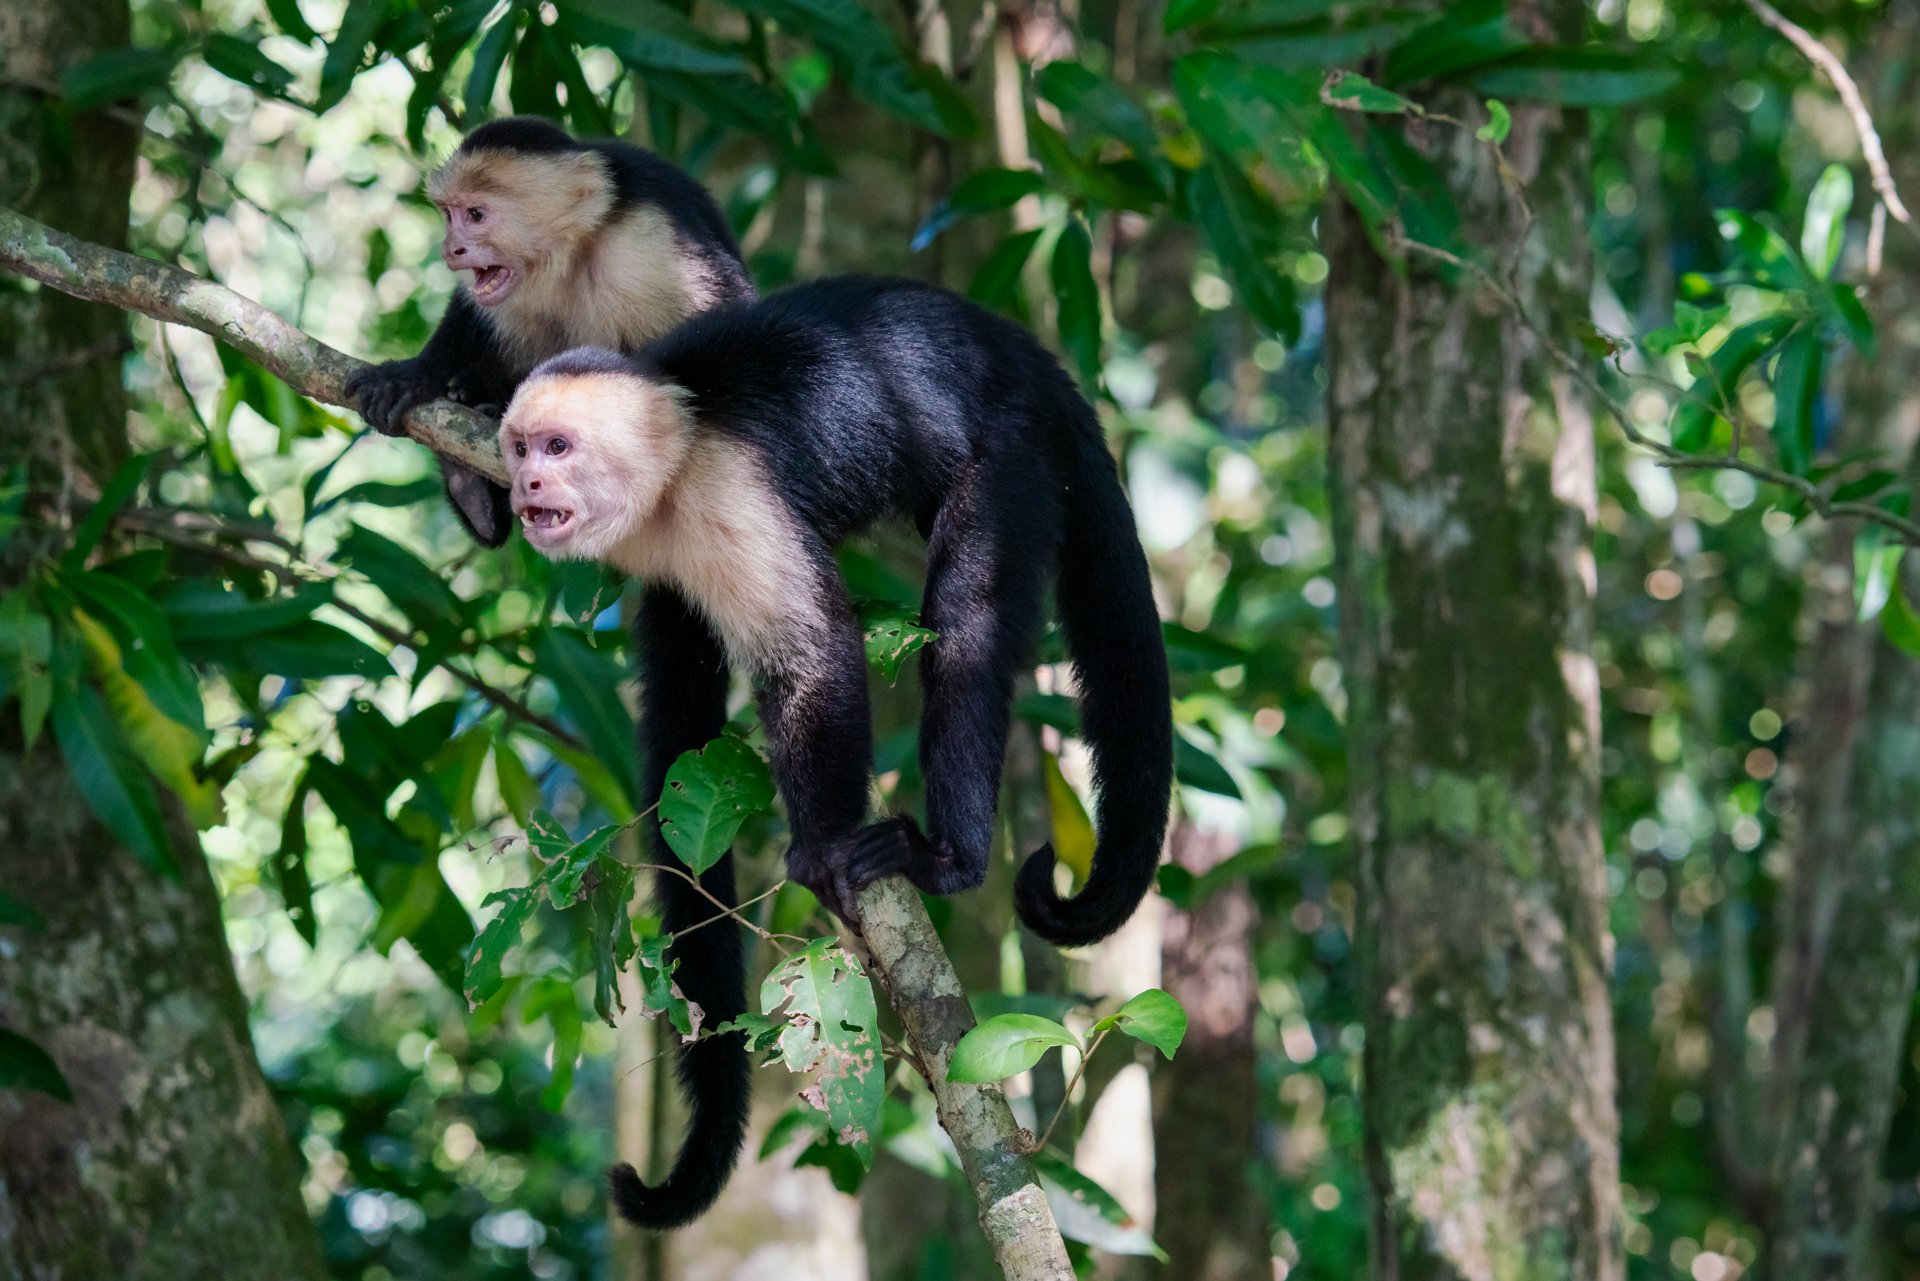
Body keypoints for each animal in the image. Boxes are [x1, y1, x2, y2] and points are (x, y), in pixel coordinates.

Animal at [349, 120, 760, 1229]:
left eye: (475, 213)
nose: (453, 248)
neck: (573, 256)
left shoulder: (659, 252)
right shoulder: (506, 299)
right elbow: (472, 329)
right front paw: (420, 376)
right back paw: (472, 473)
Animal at [499, 278, 1167, 1229]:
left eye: (559, 446)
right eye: (520, 446)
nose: (526, 481)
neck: (668, 472)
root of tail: (1018, 349)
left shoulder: (728, 494)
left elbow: (815, 655)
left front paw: (820, 848)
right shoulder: (660, 561)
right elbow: (680, 747)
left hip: (1005, 451)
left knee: (965, 626)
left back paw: (948, 856)